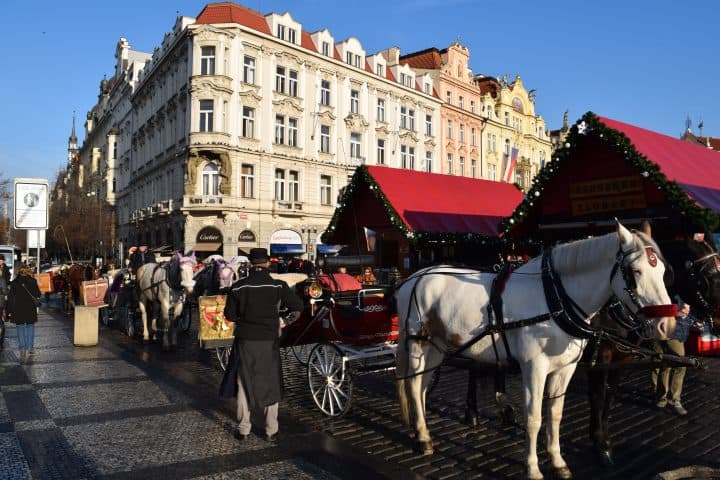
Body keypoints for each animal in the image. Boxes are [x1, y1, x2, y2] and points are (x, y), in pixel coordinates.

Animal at [396, 222, 676, 480]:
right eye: (635, 271)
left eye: (662, 271)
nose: (667, 324)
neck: (555, 299)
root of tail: (413, 278)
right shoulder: (534, 367)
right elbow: (534, 418)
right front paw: (532, 468)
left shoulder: (566, 368)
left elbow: (555, 415)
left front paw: (558, 462)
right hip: (418, 344)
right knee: (413, 386)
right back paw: (422, 439)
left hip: (437, 347)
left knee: (422, 386)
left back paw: (423, 431)